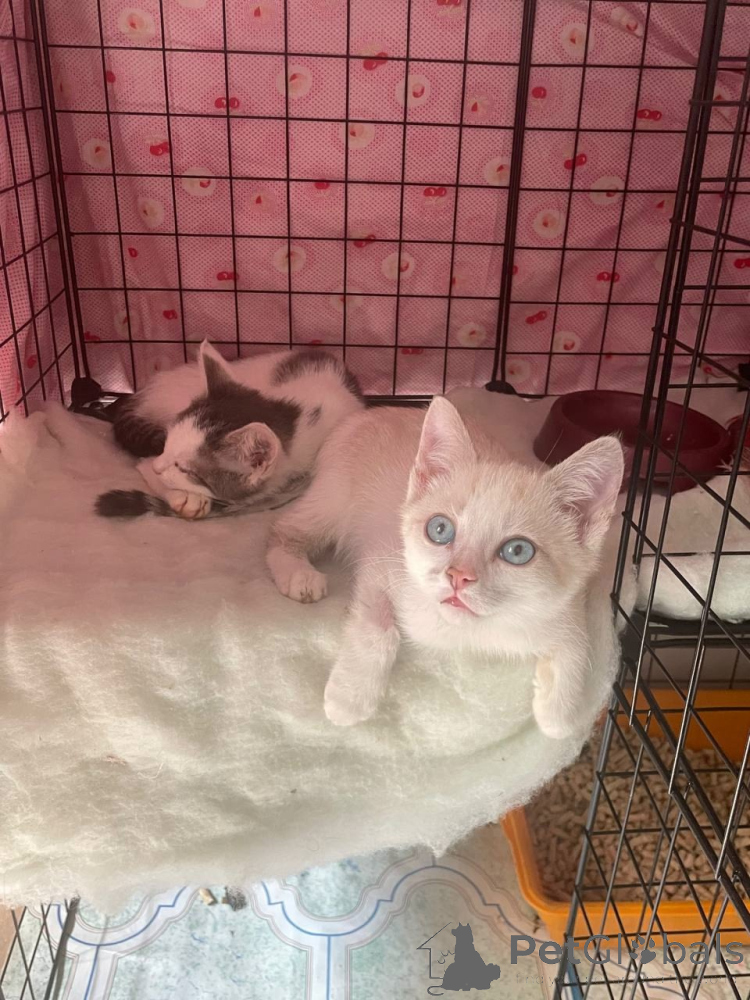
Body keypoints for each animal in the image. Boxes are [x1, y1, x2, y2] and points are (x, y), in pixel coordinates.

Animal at [96, 342, 364, 520]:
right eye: (167, 445)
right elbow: (146, 466)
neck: (300, 414)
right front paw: (185, 496)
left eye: (184, 468)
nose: (158, 466)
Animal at [266, 396, 624, 737]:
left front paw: (558, 714)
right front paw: (349, 698)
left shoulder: (565, 602)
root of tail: (365, 415)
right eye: (440, 529)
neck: (467, 633)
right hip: (334, 498)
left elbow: (577, 641)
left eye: (518, 551)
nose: (458, 576)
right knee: (282, 529)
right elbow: (378, 631)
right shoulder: (381, 563)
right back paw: (299, 574)